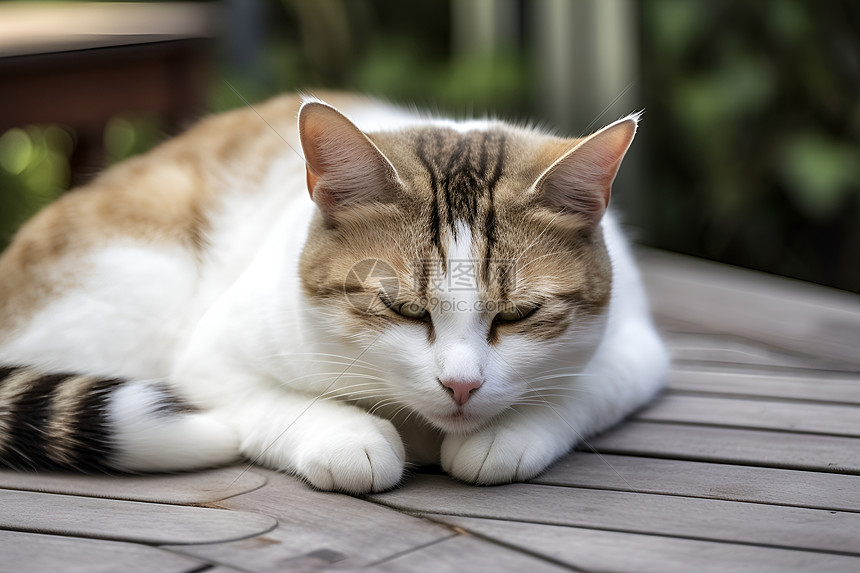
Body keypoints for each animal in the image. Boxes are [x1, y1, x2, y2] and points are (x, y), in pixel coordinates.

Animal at [0, 92, 668, 492]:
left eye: (519, 314)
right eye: (403, 309)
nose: (460, 386)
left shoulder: (635, 349)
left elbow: (578, 391)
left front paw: (506, 433)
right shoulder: (209, 357)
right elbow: (276, 405)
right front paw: (352, 436)